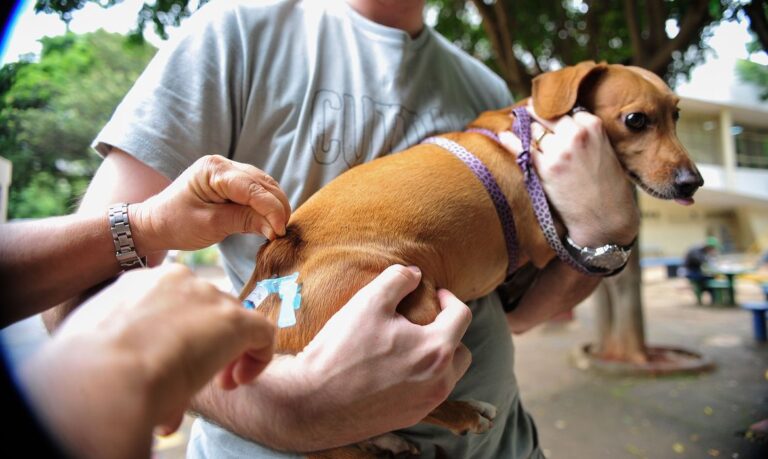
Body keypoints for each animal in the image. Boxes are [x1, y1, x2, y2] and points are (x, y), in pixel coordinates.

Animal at [240, 60, 704, 456]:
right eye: (636, 120)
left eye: (677, 115)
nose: (693, 182)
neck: (527, 132)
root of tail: (275, 269)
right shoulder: (546, 240)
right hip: (414, 303)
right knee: (401, 403)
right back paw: (465, 414)